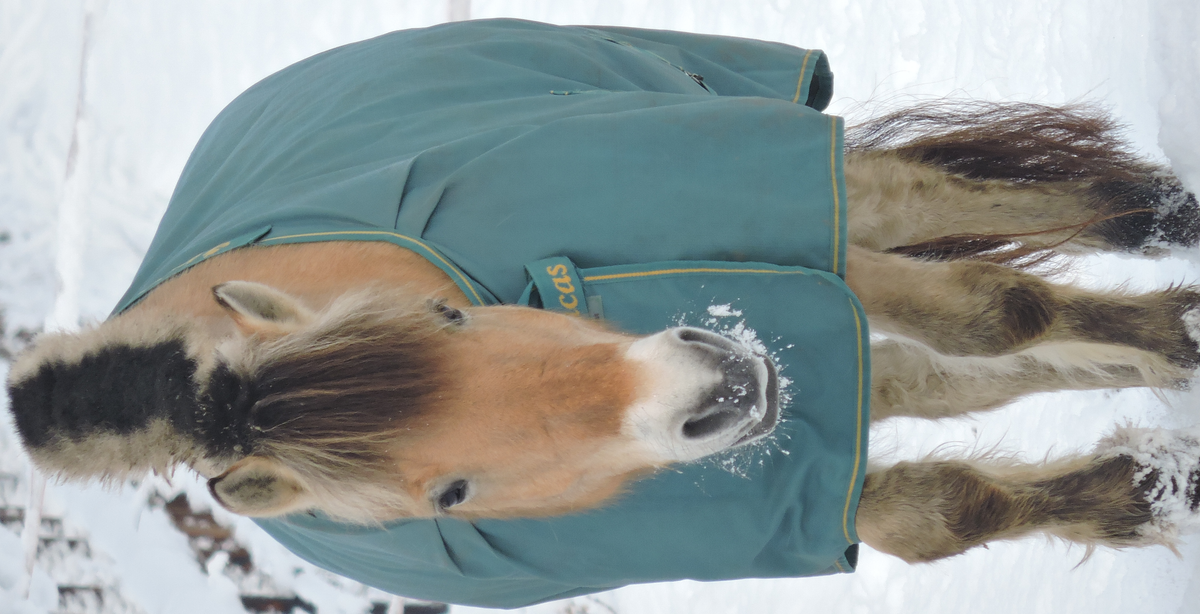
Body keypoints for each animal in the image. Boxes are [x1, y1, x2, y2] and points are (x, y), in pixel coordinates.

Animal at [4, 20, 1200, 597]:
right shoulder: (777, 495)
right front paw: (1136, 492)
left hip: (758, 157)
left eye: (449, 319)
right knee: (946, 377)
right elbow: (946, 502)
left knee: (928, 208)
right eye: (447, 496)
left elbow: (993, 309)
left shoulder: (784, 238)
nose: (720, 389)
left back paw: (1155, 221)